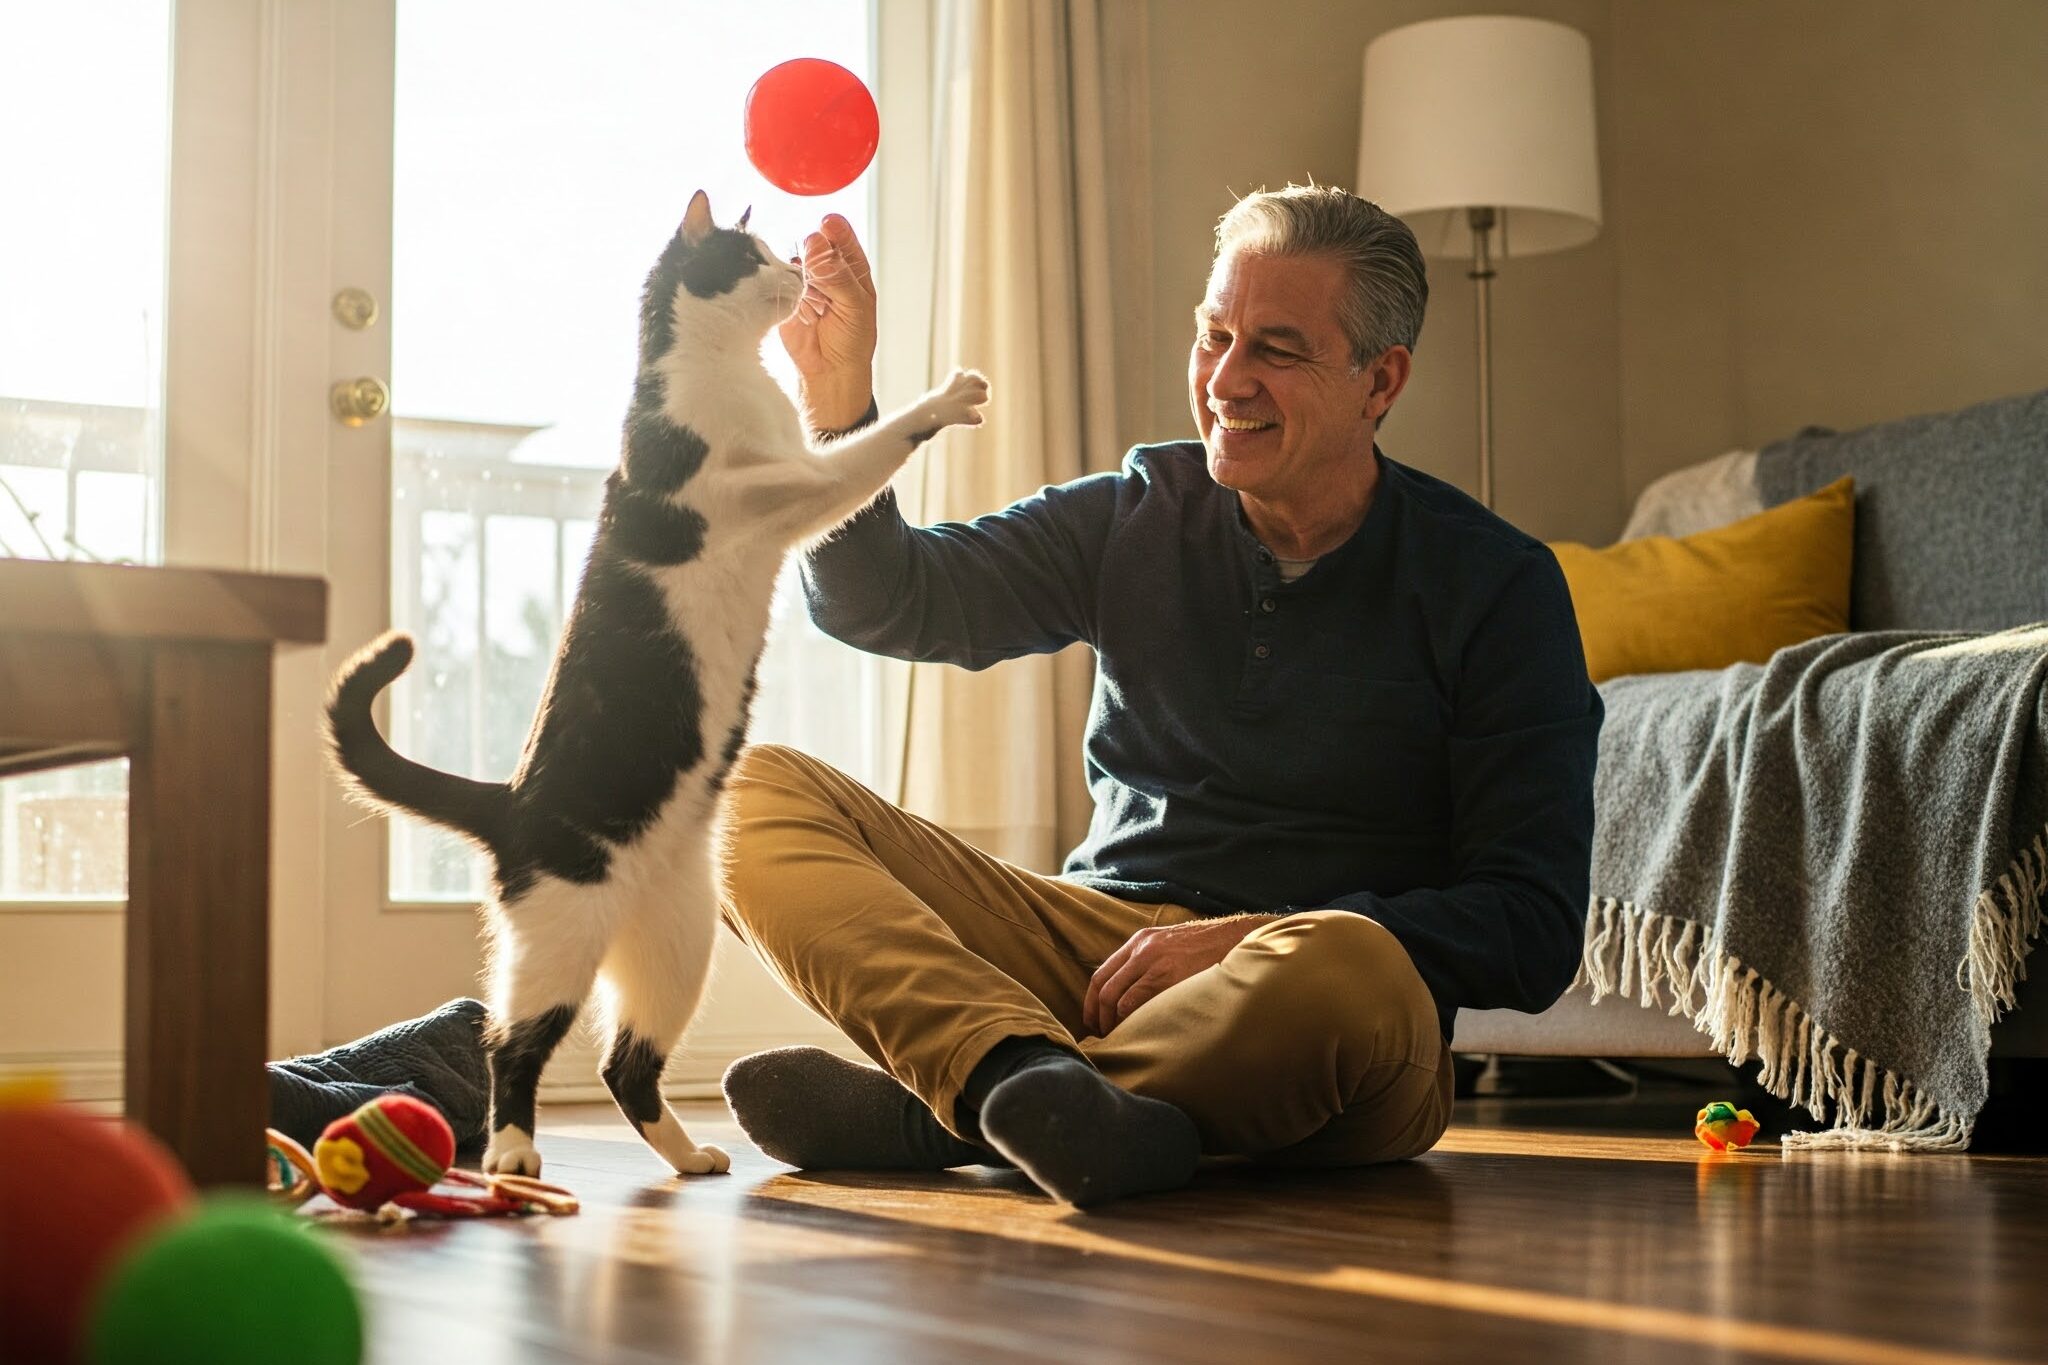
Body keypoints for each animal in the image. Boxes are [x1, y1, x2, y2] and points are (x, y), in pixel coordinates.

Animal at [321, 187, 991, 1178]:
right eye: (752, 256)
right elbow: (875, 446)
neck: (722, 373)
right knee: (509, 1045)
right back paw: (512, 1155)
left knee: (625, 1062)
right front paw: (948, 394)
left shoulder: (801, 494)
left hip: (680, 943)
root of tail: (510, 803)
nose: (801, 265)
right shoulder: (792, 487)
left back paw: (687, 1157)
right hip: (559, 944)